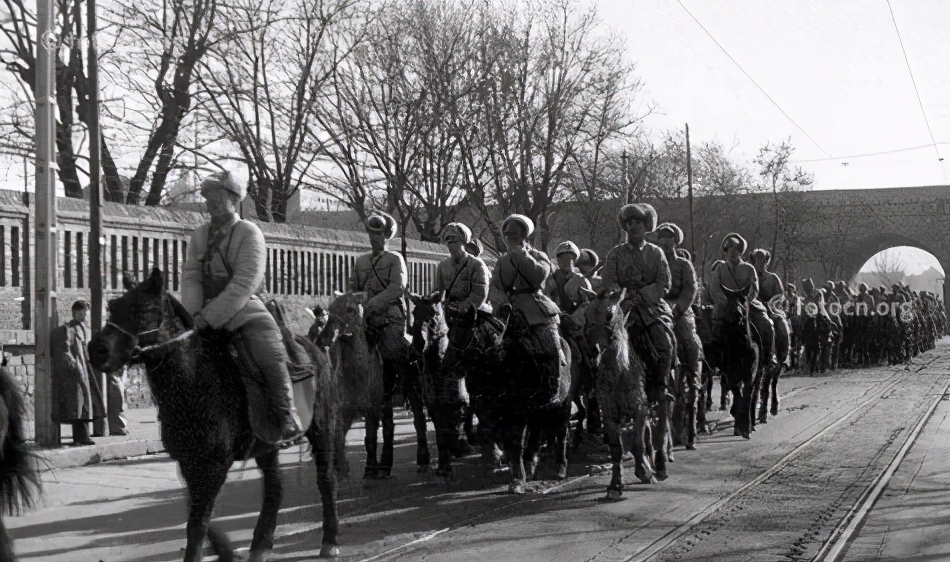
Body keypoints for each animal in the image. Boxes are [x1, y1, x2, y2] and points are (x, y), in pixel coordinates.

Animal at [88, 270, 346, 556]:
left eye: (142, 308)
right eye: (112, 307)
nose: (96, 350)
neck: (195, 383)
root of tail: (315, 349)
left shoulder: (214, 466)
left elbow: (197, 524)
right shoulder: (190, 462)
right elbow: (199, 518)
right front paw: (227, 552)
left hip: (323, 428)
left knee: (326, 478)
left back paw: (330, 541)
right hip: (267, 444)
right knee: (274, 488)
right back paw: (261, 545)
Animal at [576, 288, 660, 498]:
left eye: (609, 315)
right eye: (586, 315)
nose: (593, 350)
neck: (621, 372)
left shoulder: (640, 409)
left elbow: (638, 442)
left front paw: (644, 472)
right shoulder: (609, 414)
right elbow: (617, 449)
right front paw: (615, 485)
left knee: (646, 438)